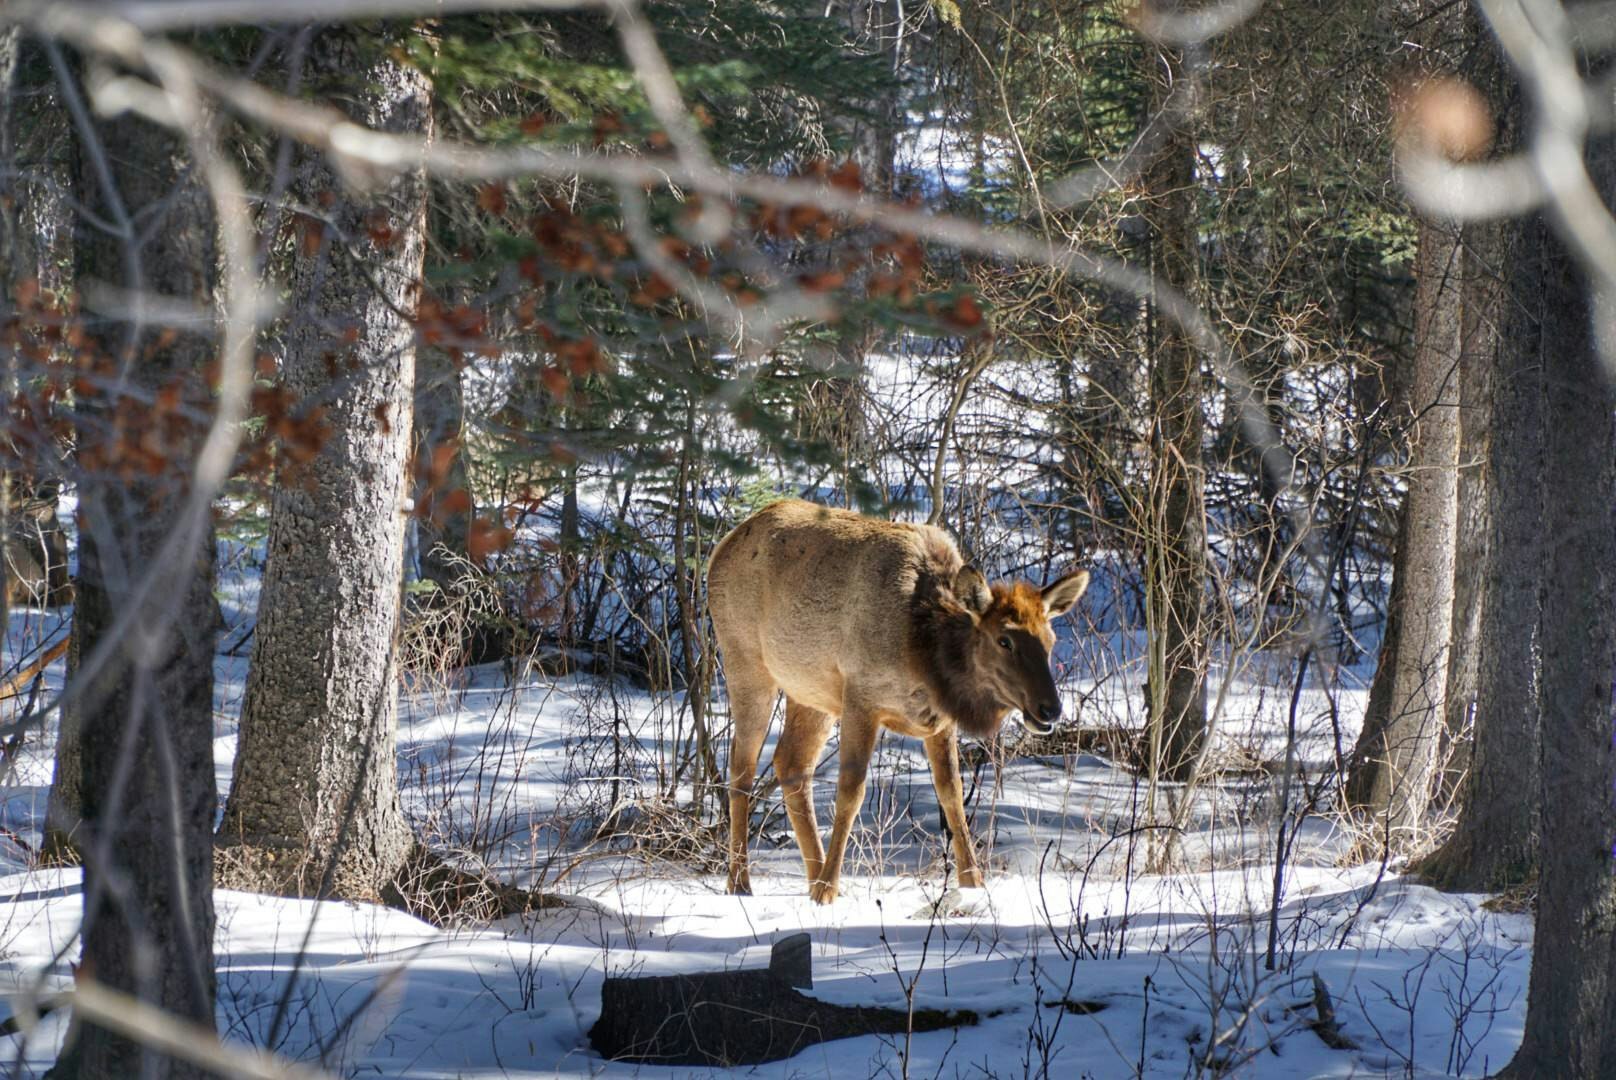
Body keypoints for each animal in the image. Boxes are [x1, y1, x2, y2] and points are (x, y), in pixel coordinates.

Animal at [707, 499, 1089, 903]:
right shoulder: (861, 696)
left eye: (1049, 639)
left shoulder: (938, 719)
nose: (1050, 708)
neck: (922, 649)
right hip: (744, 659)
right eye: (1005, 640)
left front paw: (973, 882)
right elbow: (851, 792)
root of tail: (721, 548)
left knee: (791, 762)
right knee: (741, 767)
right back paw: (742, 881)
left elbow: (952, 794)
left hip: (811, 691)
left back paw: (811, 876)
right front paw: (828, 891)